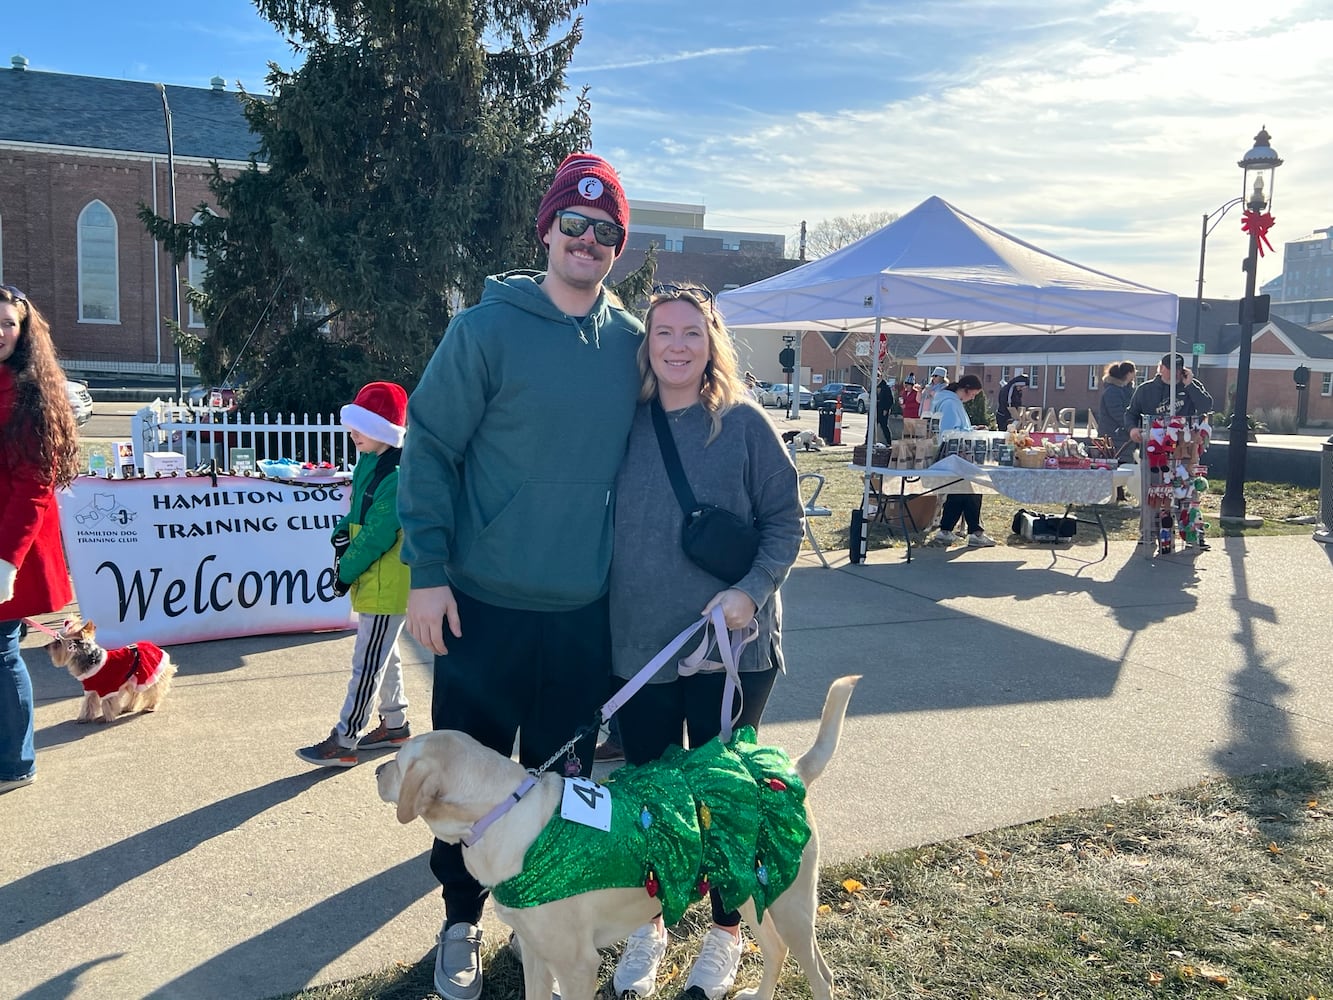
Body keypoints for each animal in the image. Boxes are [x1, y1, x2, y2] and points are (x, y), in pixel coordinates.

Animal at [47, 624, 177, 725]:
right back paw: (129, 707)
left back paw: (151, 706)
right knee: (135, 693)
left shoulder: (107, 688)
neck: (90, 659)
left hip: (149, 674)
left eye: (58, 641)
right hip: (131, 678)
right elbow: (88, 703)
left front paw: (106, 718)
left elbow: (107, 703)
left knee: (154, 691)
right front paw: (85, 718)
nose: (46, 647)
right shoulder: (90, 688)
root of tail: (152, 645)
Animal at [378, 677, 853, 1000]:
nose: (378, 770)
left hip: (791, 905)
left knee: (821, 975)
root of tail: (789, 771)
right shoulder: (534, 953)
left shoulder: (577, 966)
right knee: (776, 950)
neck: (503, 812)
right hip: (752, 893)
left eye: (399, 765)